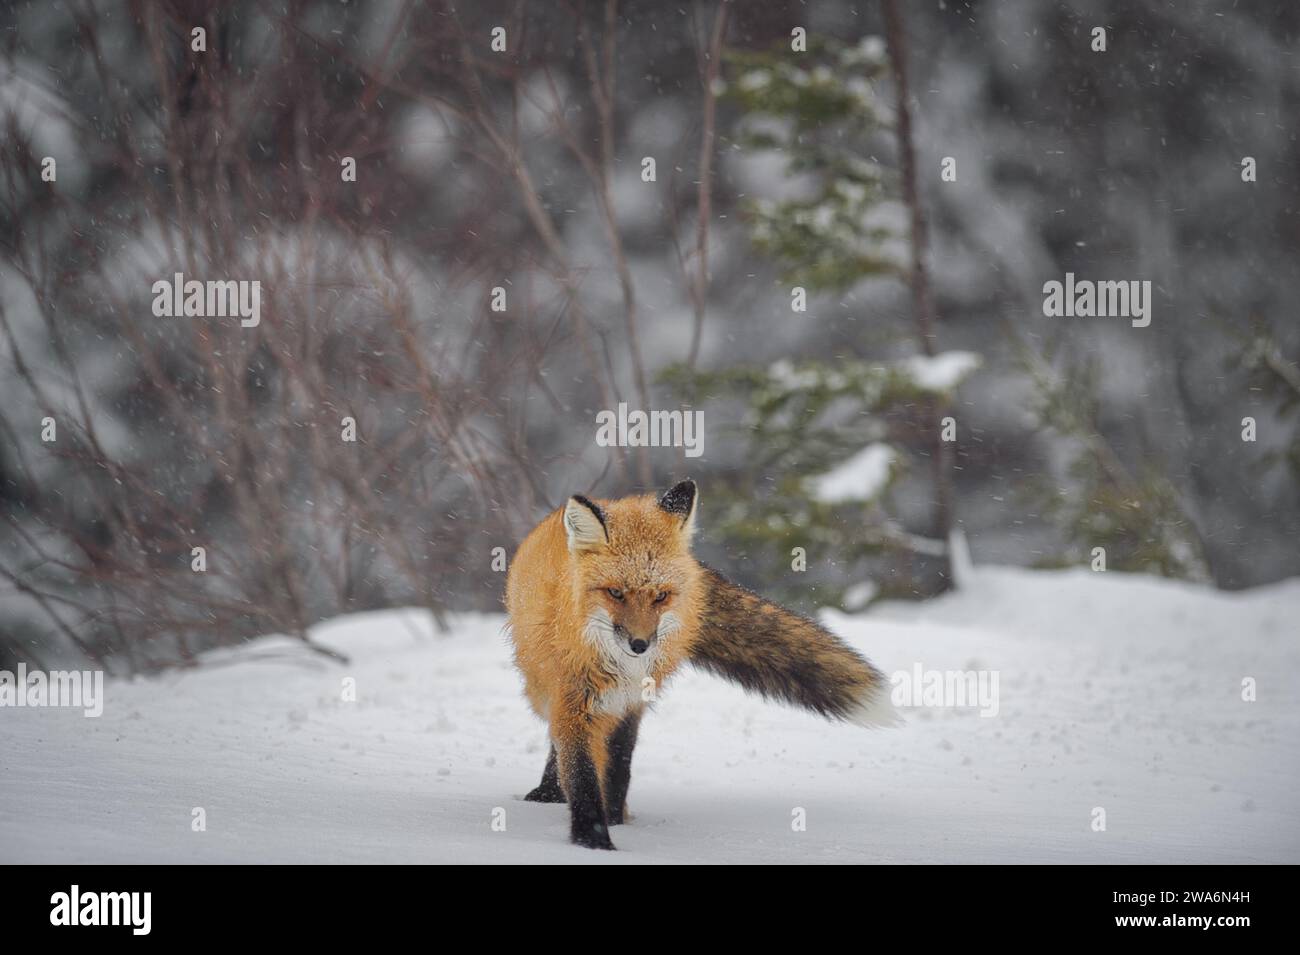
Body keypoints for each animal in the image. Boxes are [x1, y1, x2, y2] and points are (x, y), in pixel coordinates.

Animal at [504, 478, 896, 850]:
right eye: (615, 593)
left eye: (661, 596)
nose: (639, 645)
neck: (615, 664)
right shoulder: (573, 700)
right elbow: (581, 773)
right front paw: (594, 841)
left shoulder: (630, 705)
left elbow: (618, 766)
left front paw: (613, 822)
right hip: (541, 687)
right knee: (556, 739)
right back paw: (548, 792)